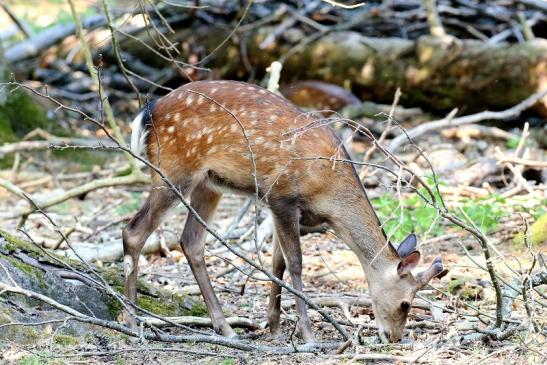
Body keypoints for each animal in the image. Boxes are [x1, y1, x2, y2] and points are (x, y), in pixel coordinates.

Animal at [124, 79, 446, 342]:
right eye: (406, 303)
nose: (394, 337)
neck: (328, 194)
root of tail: (148, 112)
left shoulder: (280, 207)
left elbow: (276, 262)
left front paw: (275, 325)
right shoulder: (281, 196)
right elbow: (295, 263)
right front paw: (306, 333)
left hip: (209, 183)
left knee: (191, 240)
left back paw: (225, 327)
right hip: (173, 170)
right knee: (133, 231)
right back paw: (130, 320)